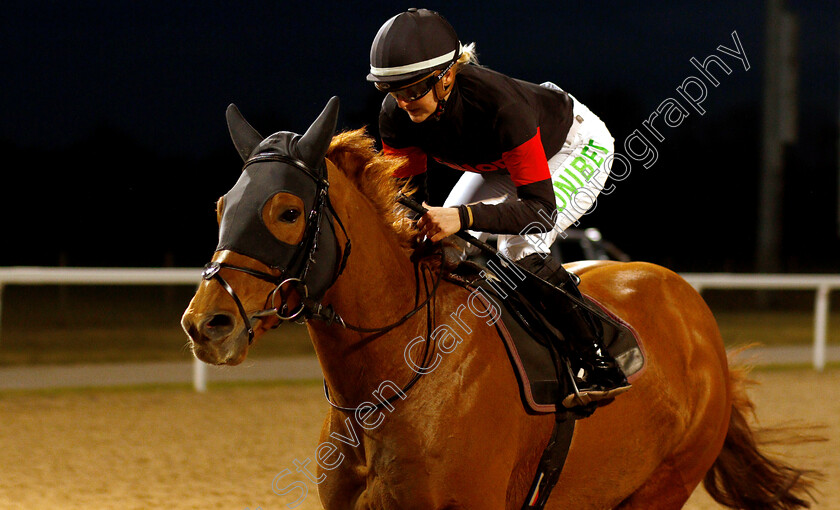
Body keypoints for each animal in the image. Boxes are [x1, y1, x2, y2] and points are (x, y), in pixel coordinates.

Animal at [179, 97, 812, 508]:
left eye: (287, 212)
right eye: (222, 205)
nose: (206, 323)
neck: (391, 379)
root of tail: (696, 315)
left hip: (666, 483)